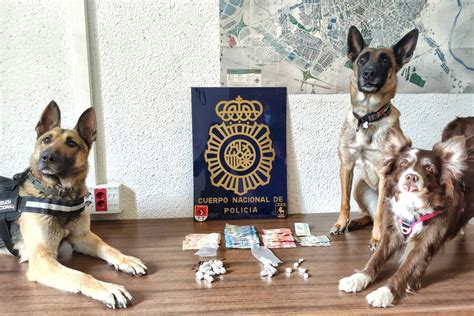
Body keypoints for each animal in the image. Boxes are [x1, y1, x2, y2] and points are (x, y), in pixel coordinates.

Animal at [0, 102, 146, 308]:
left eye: (71, 144)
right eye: (46, 140)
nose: (47, 157)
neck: (60, 194)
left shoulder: (82, 237)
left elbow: (109, 248)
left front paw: (126, 260)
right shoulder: (42, 259)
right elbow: (80, 275)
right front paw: (108, 288)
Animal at [330, 25, 418, 249]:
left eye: (385, 60)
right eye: (362, 59)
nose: (368, 73)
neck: (367, 117)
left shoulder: (384, 176)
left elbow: (380, 213)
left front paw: (377, 238)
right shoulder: (347, 166)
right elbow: (344, 201)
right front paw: (341, 223)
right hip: (360, 186)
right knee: (368, 214)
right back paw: (356, 222)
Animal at [338, 117, 472, 308]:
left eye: (429, 168)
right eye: (403, 164)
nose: (411, 177)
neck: (414, 205)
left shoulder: (423, 243)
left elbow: (404, 270)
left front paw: (385, 292)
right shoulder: (392, 233)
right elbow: (375, 259)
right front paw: (358, 278)